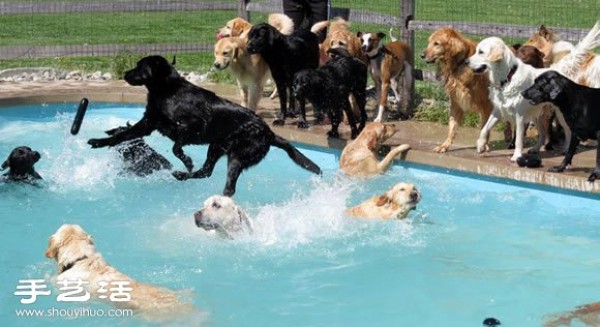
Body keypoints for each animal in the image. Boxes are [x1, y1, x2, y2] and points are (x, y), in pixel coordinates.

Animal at [468, 20, 600, 161]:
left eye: (481, 52)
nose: (466, 61)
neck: (508, 77)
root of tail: (557, 70)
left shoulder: (520, 116)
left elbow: (518, 139)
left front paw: (516, 156)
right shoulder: (498, 110)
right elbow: (484, 129)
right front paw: (481, 145)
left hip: (559, 115)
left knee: (567, 131)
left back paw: (566, 149)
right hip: (537, 115)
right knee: (543, 134)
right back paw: (536, 149)